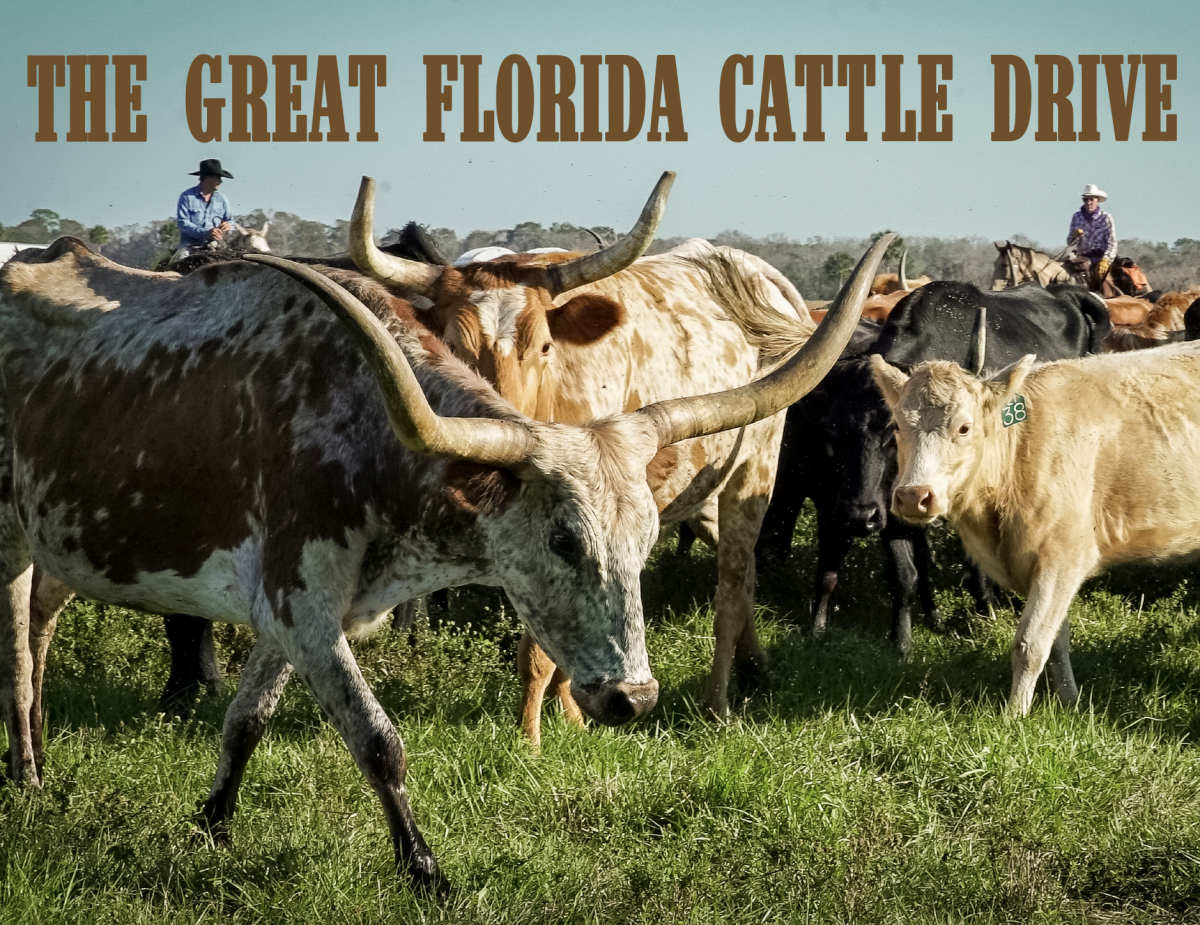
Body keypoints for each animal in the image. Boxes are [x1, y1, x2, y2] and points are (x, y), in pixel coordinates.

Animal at [0, 235, 884, 890]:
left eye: (642, 541)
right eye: (564, 539)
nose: (632, 696)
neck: (364, 424)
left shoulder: (297, 612)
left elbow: (246, 717)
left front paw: (213, 823)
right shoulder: (300, 603)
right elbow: (377, 739)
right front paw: (423, 869)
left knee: (36, 636)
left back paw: (35, 759)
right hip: (12, 539)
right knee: (15, 657)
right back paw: (28, 778)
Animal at [347, 176, 825, 737]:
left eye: (544, 346)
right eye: (452, 346)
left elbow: (541, 651)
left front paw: (530, 739)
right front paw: (573, 719)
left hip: (754, 471)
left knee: (731, 587)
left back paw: (717, 704)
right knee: (745, 577)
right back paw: (756, 665)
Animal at [871, 339, 1200, 715]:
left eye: (964, 427)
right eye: (897, 426)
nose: (913, 496)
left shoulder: (1064, 555)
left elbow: (1030, 643)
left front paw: (1014, 715)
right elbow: (1056, 640)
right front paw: (1070, 702)